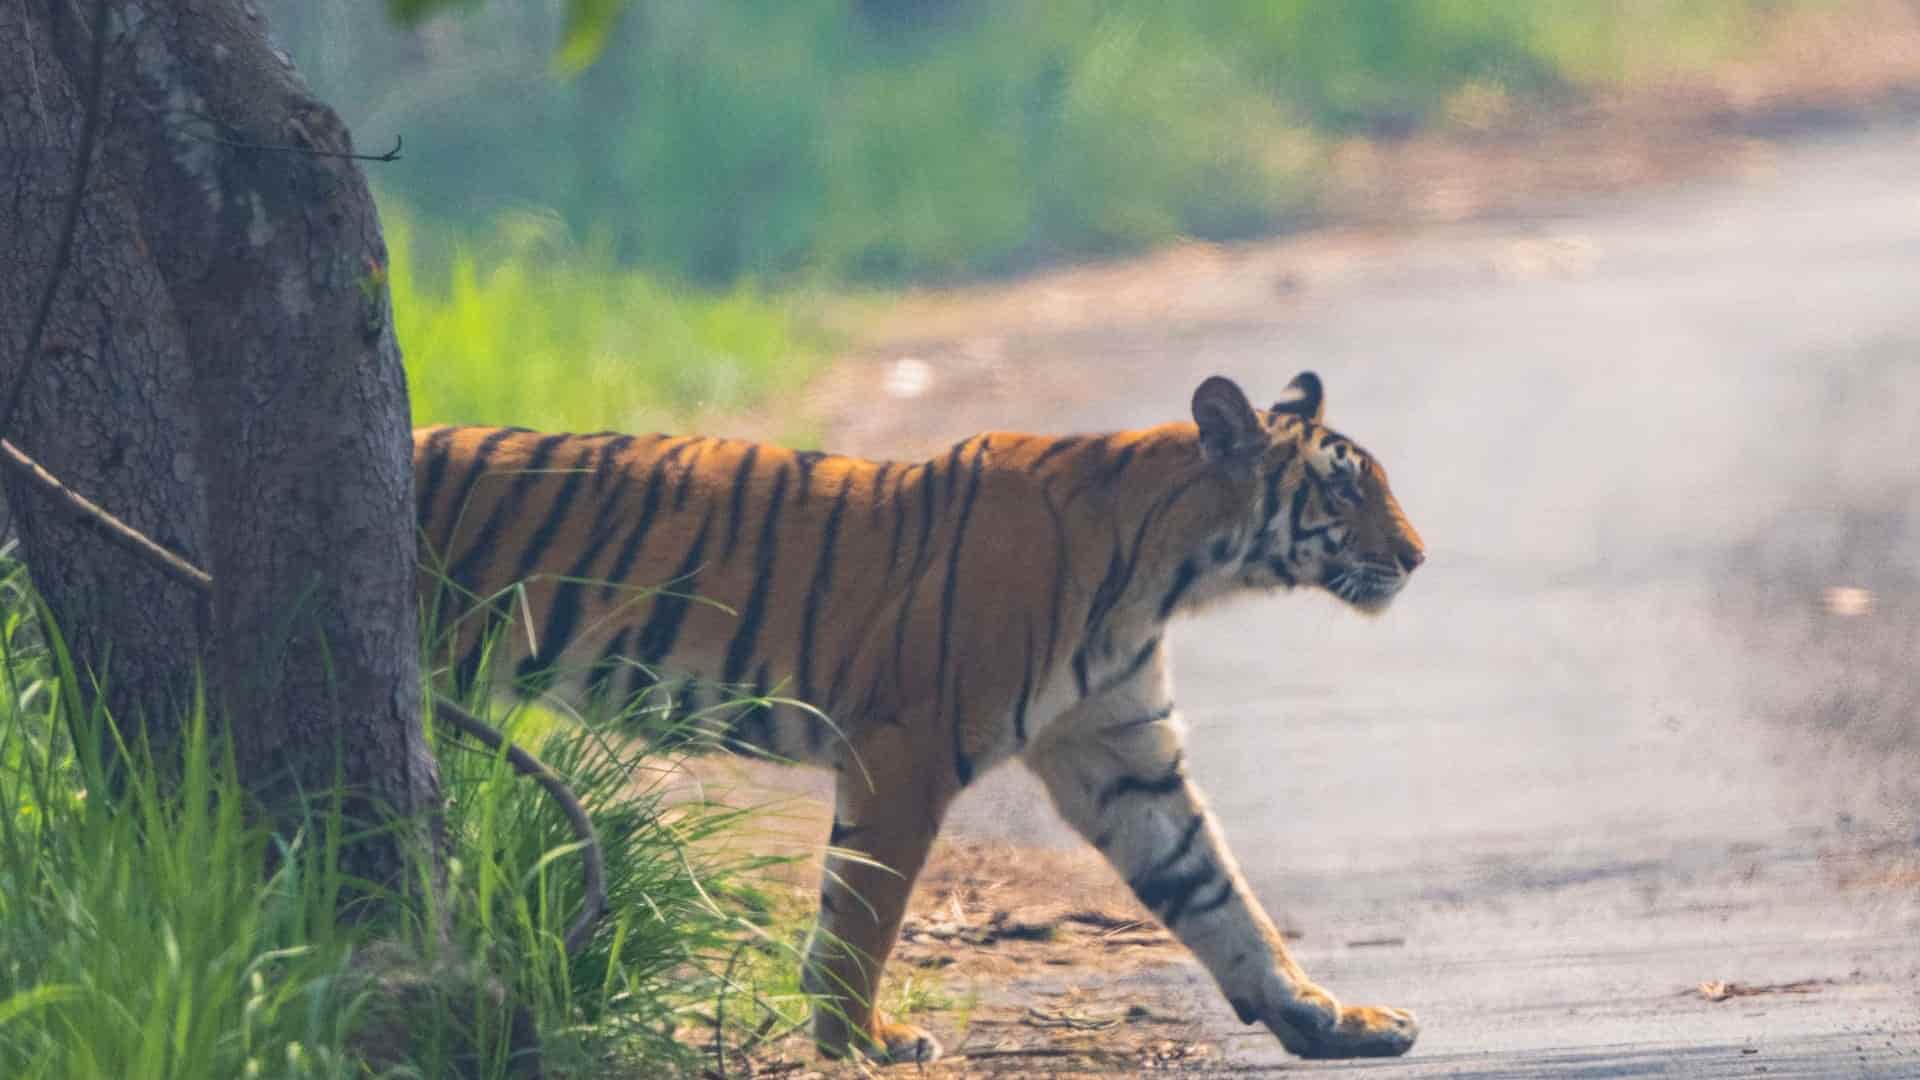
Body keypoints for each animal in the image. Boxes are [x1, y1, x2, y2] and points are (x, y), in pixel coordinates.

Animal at [412, 371, 1427, 1064]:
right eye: (1344, 489)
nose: (1418, 557)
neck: (1171, 573)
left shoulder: (1121, 750)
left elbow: (1216, 892)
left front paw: (1324, 1016)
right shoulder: (906, 744)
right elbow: (865, 908)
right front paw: (861, 1038)